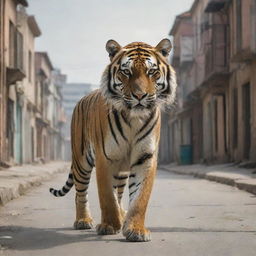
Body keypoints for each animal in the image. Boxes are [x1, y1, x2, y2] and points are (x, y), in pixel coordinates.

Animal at [49, 38, 176, 242]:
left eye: (151, 72)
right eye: (126, 72)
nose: (139, 96)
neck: (134, 118)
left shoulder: (145, 158)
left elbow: (140, 197)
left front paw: (136, 229)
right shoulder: (105, 158)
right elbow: (107, 196)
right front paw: (109, 225)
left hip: (121, 171)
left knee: (119, 192)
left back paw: (122, 214)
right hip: (82, 161)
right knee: (80, 193)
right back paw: (83, 220)